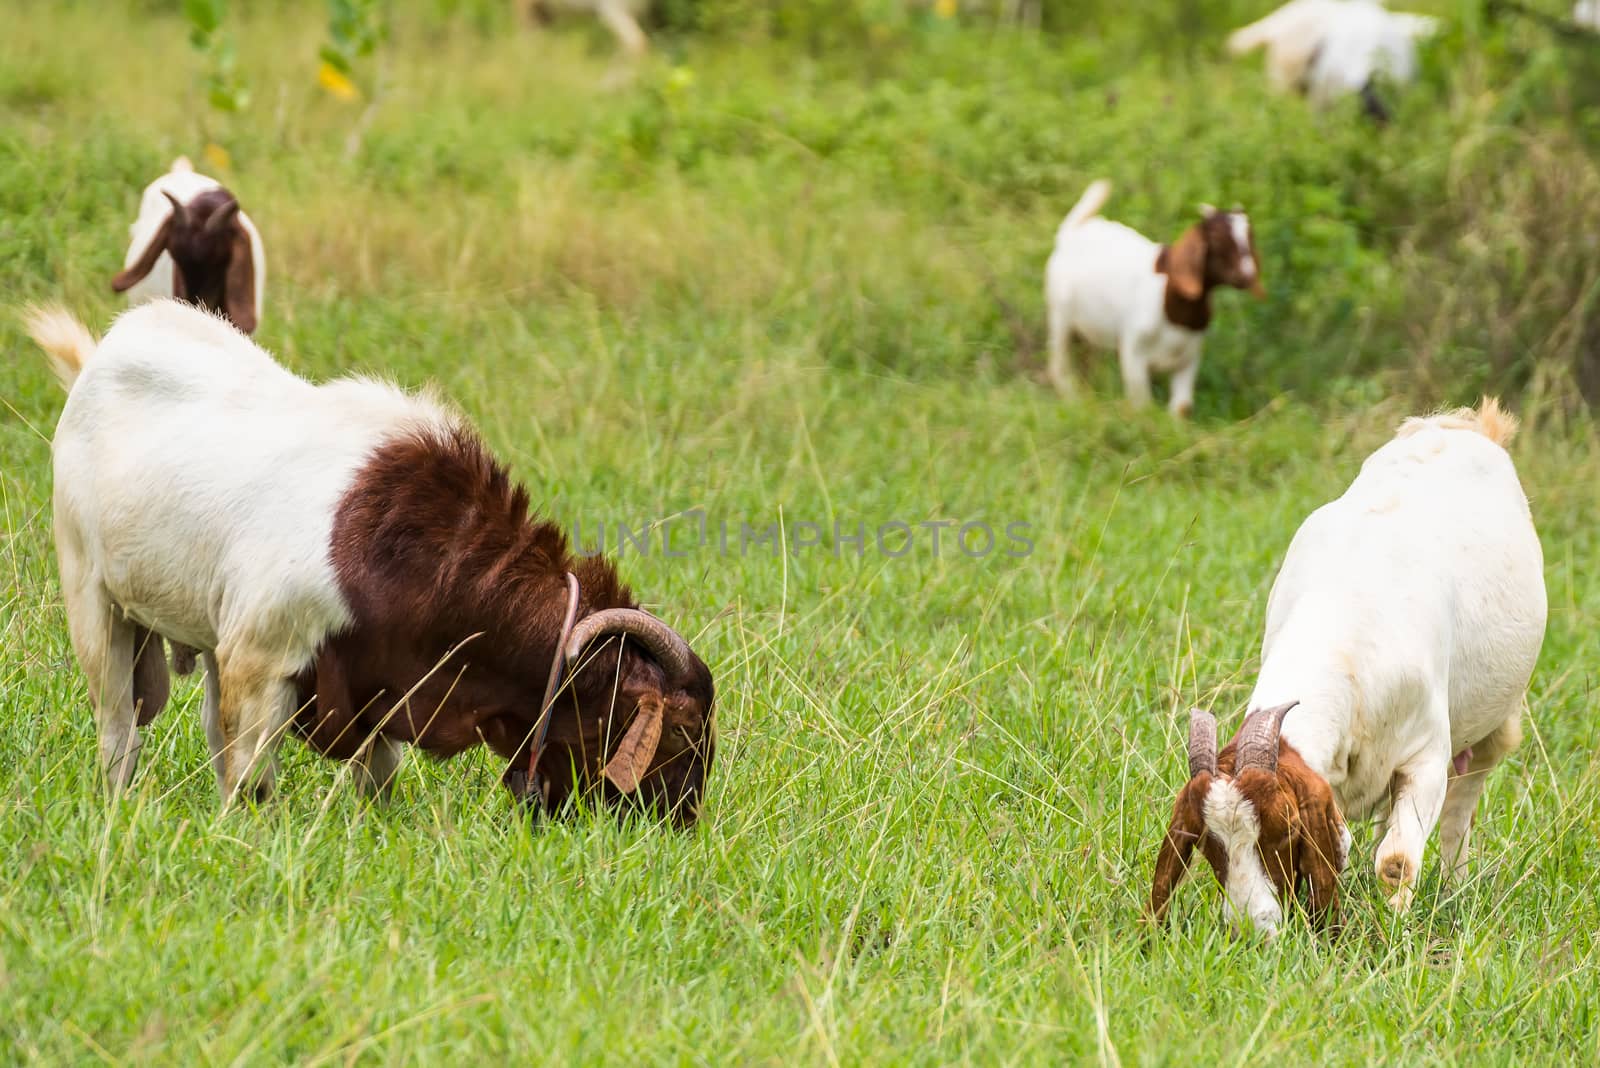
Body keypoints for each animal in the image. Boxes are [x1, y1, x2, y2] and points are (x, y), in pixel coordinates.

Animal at [21, 300, 713, 824]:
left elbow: (374, 783)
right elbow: (252, 779)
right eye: (679, 729)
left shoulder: (382, 684)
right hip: (91, 594)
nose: (681, 824)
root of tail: (103, 353)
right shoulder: (261, 655)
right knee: (119, 729)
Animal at [1152, 399, 1548, 933]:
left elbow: (1396, 862)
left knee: (1461, 803)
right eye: (1208, 844)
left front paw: (1395, 931)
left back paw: (1453, 887)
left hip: (1496, 722)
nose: (1252, 931)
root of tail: (1466, 425)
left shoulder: (1426, 755)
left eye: (1283, 830)